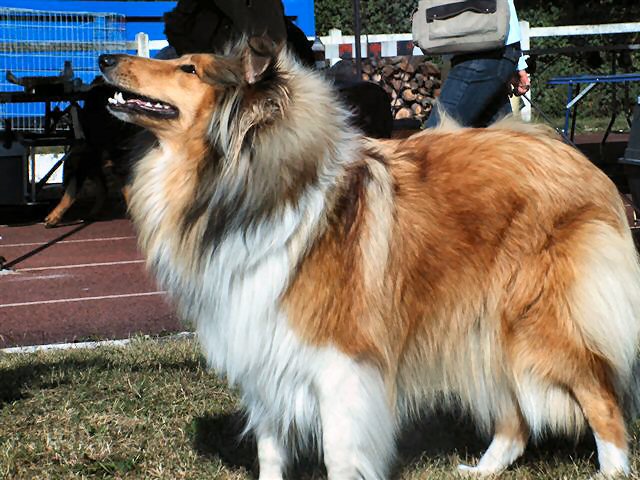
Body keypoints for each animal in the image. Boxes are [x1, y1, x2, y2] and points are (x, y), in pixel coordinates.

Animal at [99, 40, 640, 476]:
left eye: (189, 68)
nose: (104, 59)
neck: (248, 193)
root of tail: (576, 160)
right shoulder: (261, 344)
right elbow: (270, 449)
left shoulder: (340, 360)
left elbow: (339, 453)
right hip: (485, 324)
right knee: (515, 417)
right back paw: (483, 469)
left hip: (538, 323)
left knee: (601, 397)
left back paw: (611, 470)